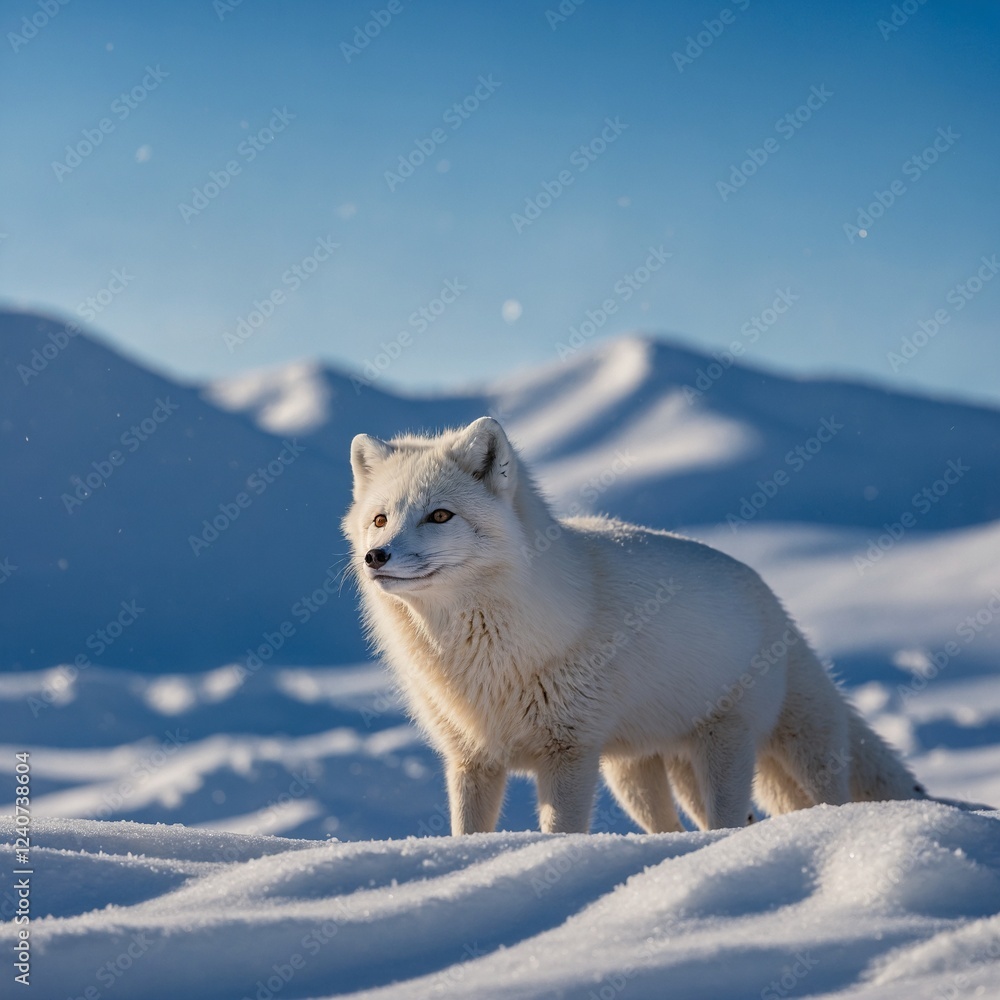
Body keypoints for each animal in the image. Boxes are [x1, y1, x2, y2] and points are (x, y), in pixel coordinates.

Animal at [342, 416, 927, 834]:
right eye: (380, 519)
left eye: (440, 516)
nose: (376, 556)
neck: (478, 656)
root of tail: (773, 603)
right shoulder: (470, 760)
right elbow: (467, 835)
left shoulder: (569, 753)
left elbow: (561, 834)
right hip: (639, 774)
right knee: (683, 828)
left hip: (744, 751)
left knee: (762, 814)